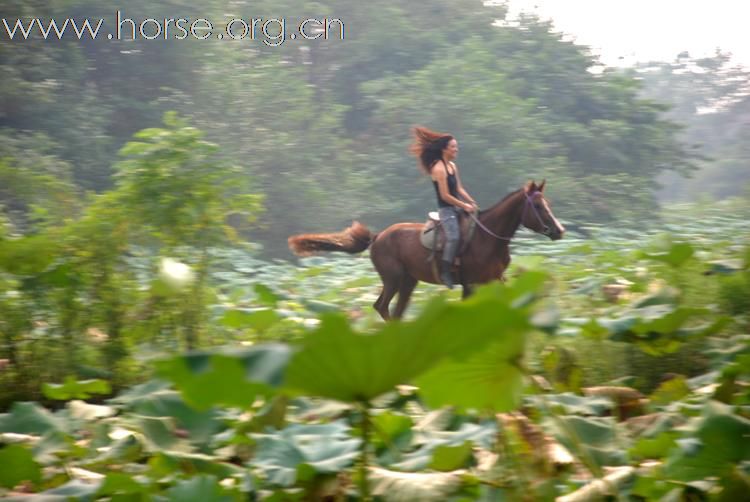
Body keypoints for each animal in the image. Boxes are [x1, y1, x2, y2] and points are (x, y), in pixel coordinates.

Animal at [288, 182, 564, 320]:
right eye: (539, 206)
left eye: (548, 203)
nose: (559, 230)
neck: (489, 238)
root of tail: (378, 237)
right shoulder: (472, 284)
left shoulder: (495, 279)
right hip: (393, 278)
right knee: (382, 307)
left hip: (409, 281)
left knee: (395, 311)